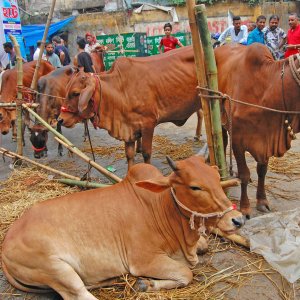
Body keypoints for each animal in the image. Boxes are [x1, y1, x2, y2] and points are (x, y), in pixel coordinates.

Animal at [1, 154, 244, 298]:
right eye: (195, 187)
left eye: (216, 176)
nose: (238, 219)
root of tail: (7, 242)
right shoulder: (143, 260)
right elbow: (186, 273)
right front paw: (145, 284)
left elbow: (203, 247)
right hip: (57, 270)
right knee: (80, 294)